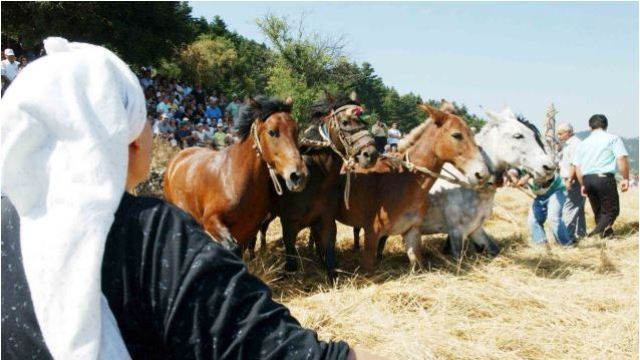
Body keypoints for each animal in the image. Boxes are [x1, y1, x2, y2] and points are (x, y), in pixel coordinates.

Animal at [162, 97, 308, 252]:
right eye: (272, 132)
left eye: (297, 130)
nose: (298, 176)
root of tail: (176, 160)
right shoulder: (212, 221)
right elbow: (232, 248)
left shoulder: (249, 230)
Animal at [252, 90, 378, 282]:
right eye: (345, 122)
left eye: (364, 122)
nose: (370, 154)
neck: (316, 180)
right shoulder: (289, 225)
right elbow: (291, 260)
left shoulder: (326, 221)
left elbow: (328, 252)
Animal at [336, 105, 490, 272]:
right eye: (457, 135)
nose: (482, 174)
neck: (402, 181)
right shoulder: (372, 233)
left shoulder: (412, 231)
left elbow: (418, 264)